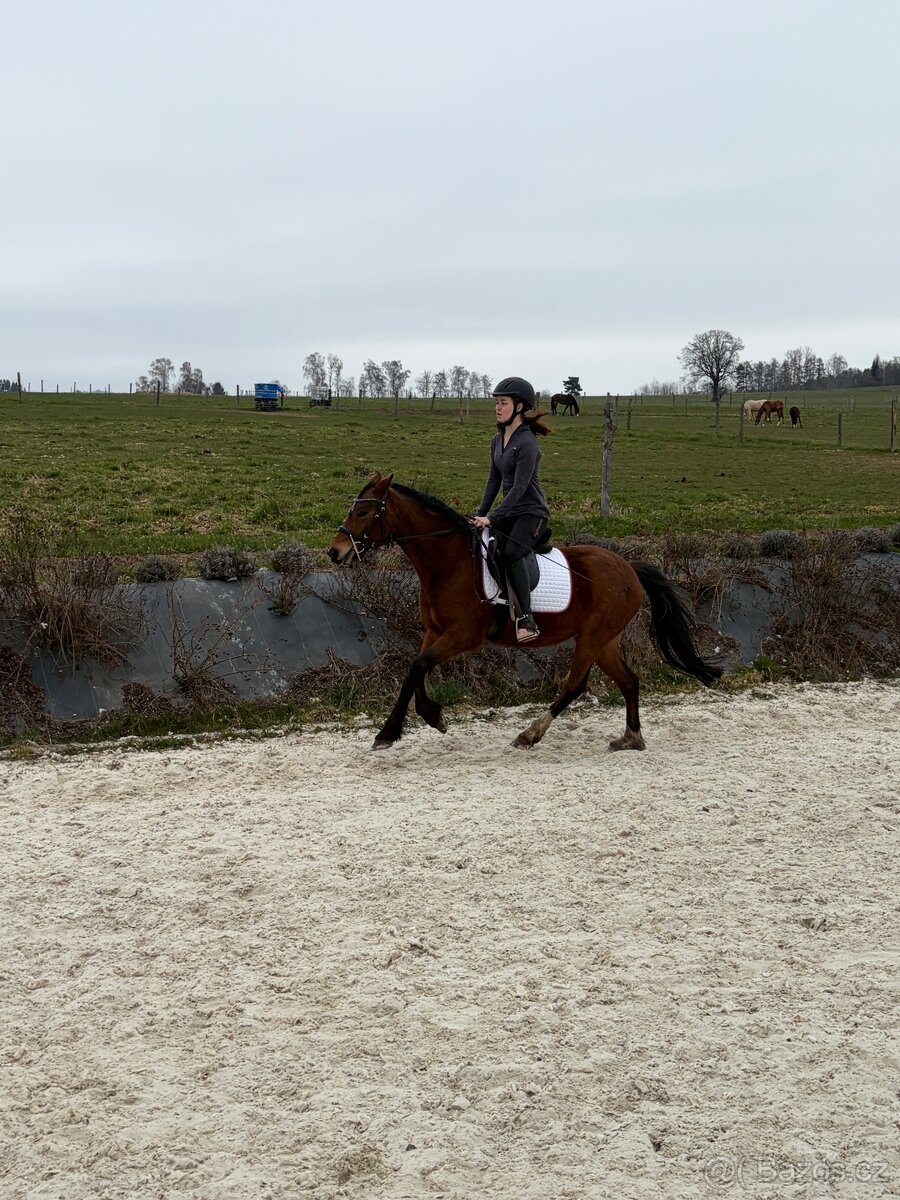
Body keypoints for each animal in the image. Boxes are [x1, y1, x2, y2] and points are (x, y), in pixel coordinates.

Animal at [327, 473, 722, 752]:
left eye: (362, 511)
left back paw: (530, 734)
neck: (448, 562)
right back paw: (631, 738)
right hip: (605, 641)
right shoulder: (435, 632)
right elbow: (416, 669)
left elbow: (417, 667)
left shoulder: (463, 636)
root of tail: (629, 568)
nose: (335, 551)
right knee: (629, 681)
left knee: (575, 686)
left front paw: (390, 731)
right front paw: (432, 716)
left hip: (593, 638)